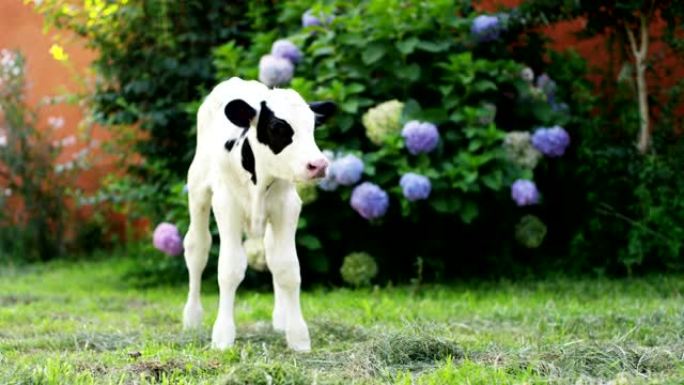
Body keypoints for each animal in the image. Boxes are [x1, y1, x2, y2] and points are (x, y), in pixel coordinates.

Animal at [180, 77, 332, 352]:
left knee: (271, 252)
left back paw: (281, 318)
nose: (318, 165)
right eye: (277, 126)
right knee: (197, 248)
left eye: (313, 125)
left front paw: (298, 336)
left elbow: (287, 268)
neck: (260, 180)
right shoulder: (227, 205)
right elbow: (229, 269)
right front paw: (223, 336)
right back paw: (192, 318)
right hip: (197, 188)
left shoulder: (287, 206)